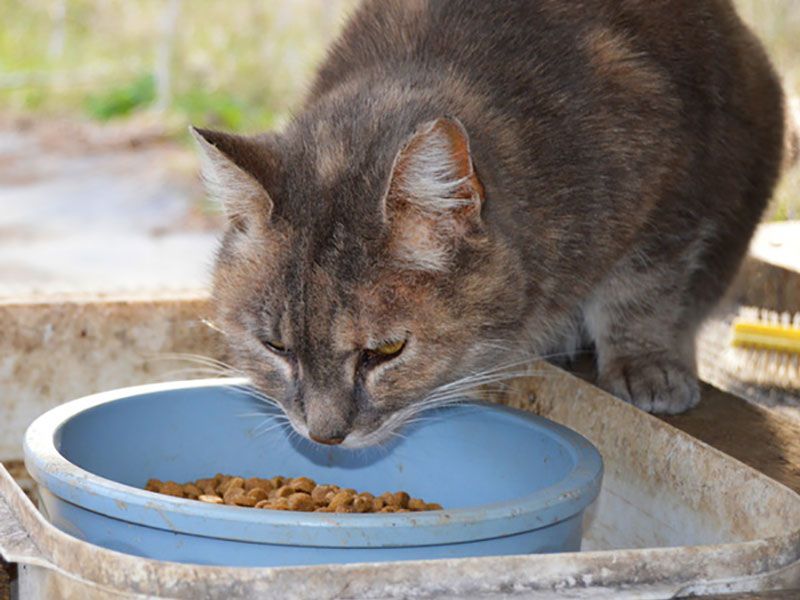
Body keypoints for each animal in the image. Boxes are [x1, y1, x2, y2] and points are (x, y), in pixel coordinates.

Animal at [191, 0, 792, 448]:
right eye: (276, 348)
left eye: (385, 352)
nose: (324, 436)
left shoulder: (674, 184)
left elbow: (643, 287)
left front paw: (644, 364)